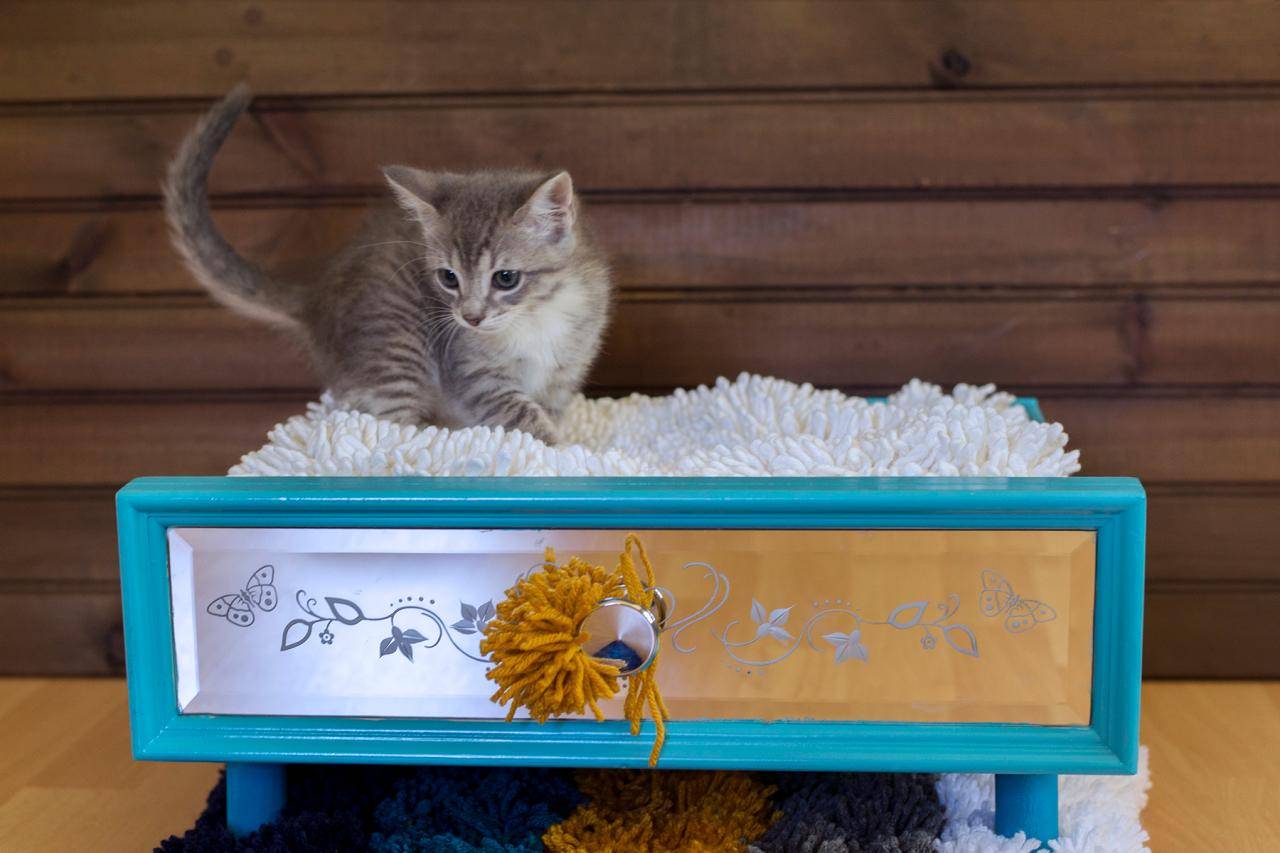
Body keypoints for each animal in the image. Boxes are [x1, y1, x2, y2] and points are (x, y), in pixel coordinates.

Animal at [162, 85, 611, 440]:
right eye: (448, 278)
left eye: (505, 278)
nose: (470, 317)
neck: (537, 319)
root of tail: (316, 298)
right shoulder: (473, 374)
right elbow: (519, 416)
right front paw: (559, 452)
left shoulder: (564, 373)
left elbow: (547, 411)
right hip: (395, 340)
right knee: (391, 426)